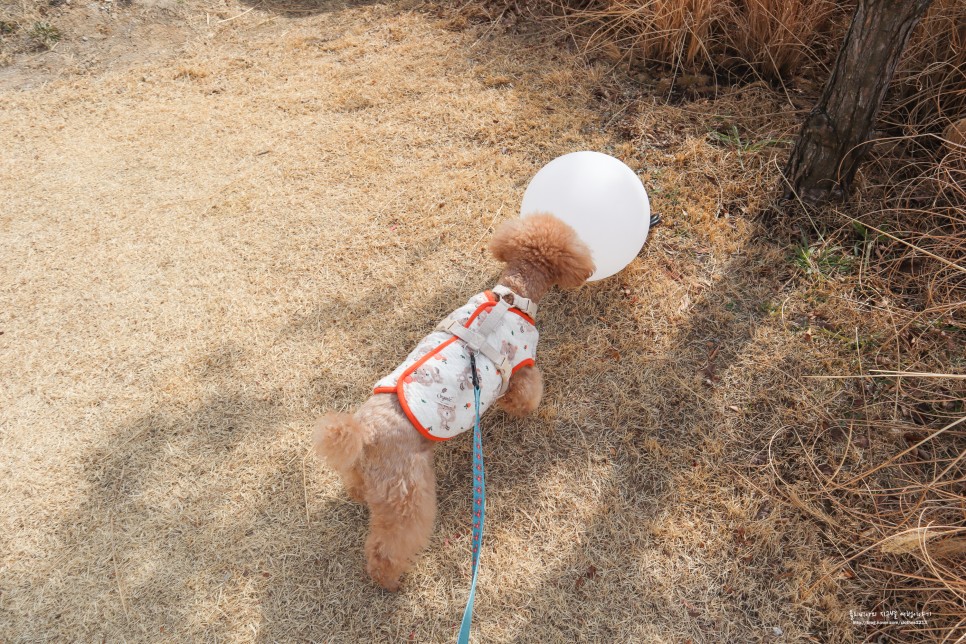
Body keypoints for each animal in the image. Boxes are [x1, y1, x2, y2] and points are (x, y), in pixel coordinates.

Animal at [314, 214, 592, 592]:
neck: (513, 296)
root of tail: (364, 431)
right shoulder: (521, 367)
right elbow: (526, 396)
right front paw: (520, 410)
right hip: (408, 494)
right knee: (390, 544)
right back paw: (388, 580)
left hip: (367, 473)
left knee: (357, 487)